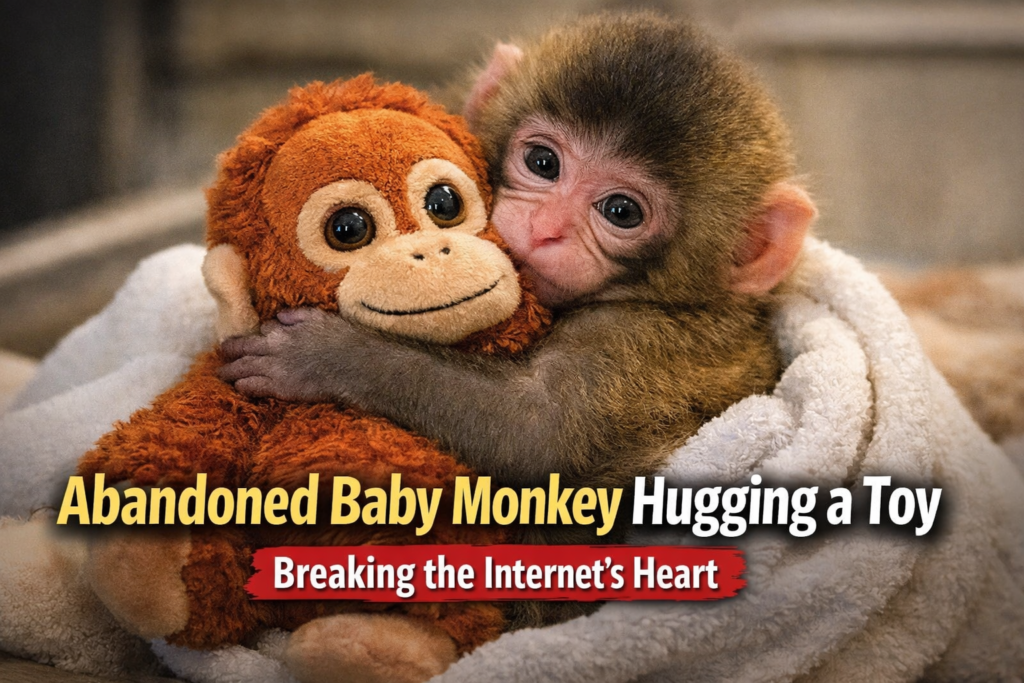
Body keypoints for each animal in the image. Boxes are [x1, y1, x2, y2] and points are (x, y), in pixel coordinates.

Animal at [219, 13, 817, 627]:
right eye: (543, 163)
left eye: (622, 211)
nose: (546, 228)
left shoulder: (648, 339)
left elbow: (535, 432)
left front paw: (322, 356)